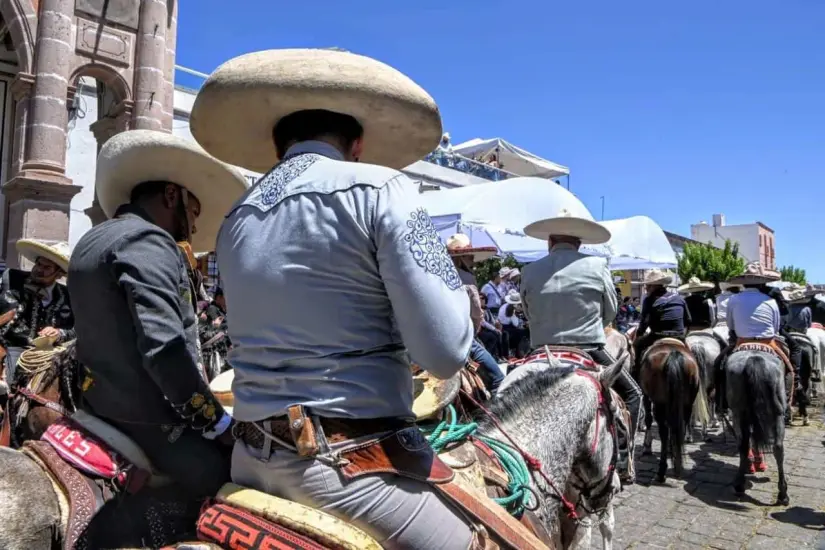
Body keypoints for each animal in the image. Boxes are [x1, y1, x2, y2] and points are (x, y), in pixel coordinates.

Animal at [636, 340, 708, 484]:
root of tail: (673, 354)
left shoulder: (646, 396)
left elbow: (648, 419)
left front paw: (647, 447)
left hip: (659, 403)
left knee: (663, 431)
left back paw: (661, 472)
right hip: (686, 404)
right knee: (681, 427)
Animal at [724, 350, 788, 508]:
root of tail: (754, 358)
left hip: (738, 412)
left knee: (745, 445)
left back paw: (740, 484)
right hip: (778, 412)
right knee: (777, 448)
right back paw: (782, 494)